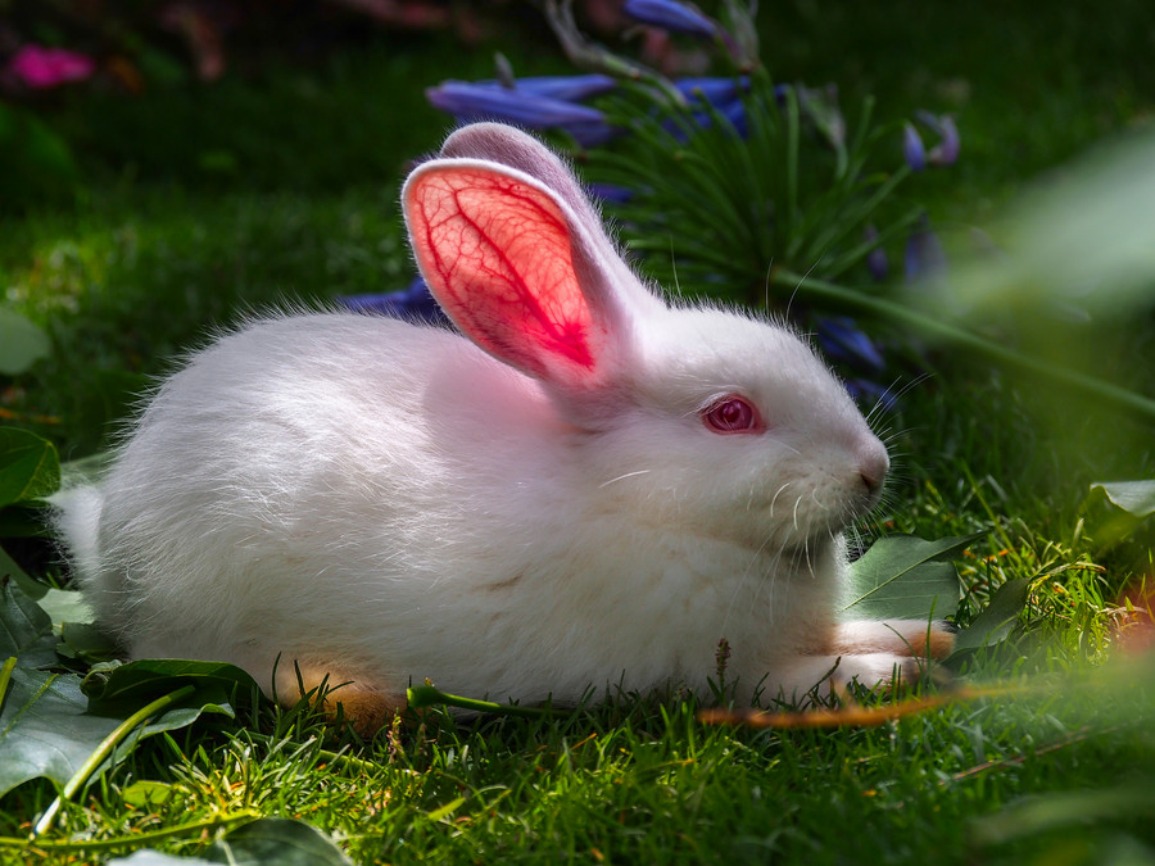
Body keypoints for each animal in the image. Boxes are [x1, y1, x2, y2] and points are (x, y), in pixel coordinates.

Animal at [54, 122, 953, 731]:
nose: (871, 468)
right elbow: (810, 678)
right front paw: (891, 675)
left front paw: (925, 634)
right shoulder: (721, 671)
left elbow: (857, 627)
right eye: (730, 415)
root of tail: (110, 543)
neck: (635, 500)